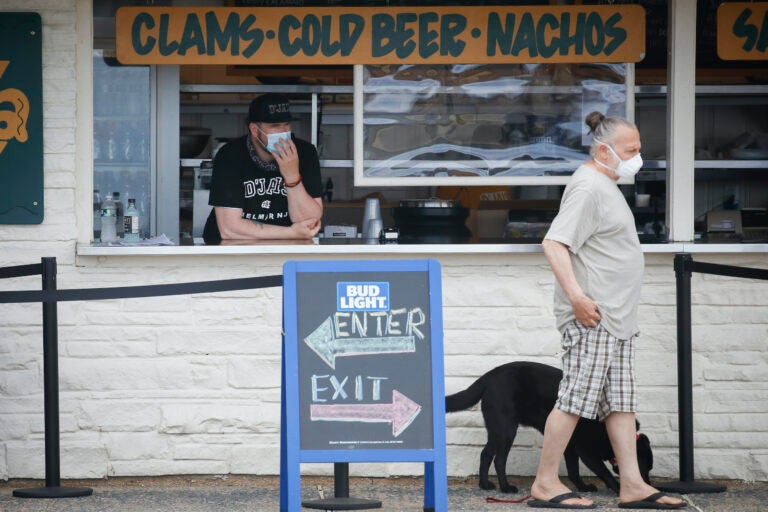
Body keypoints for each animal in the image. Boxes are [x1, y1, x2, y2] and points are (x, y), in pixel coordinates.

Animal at [444, 358, 656, 494]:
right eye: (644, 466)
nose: (648, 483)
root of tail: (490, 375)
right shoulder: (587, 453)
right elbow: (604, 472)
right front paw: (620, 488)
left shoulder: (571, 447)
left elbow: (573, 470)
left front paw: (583, 488)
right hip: (506, 430)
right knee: (499, 459)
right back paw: (505, 488)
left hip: (497, 430)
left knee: (486, 454)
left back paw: (485, 484)